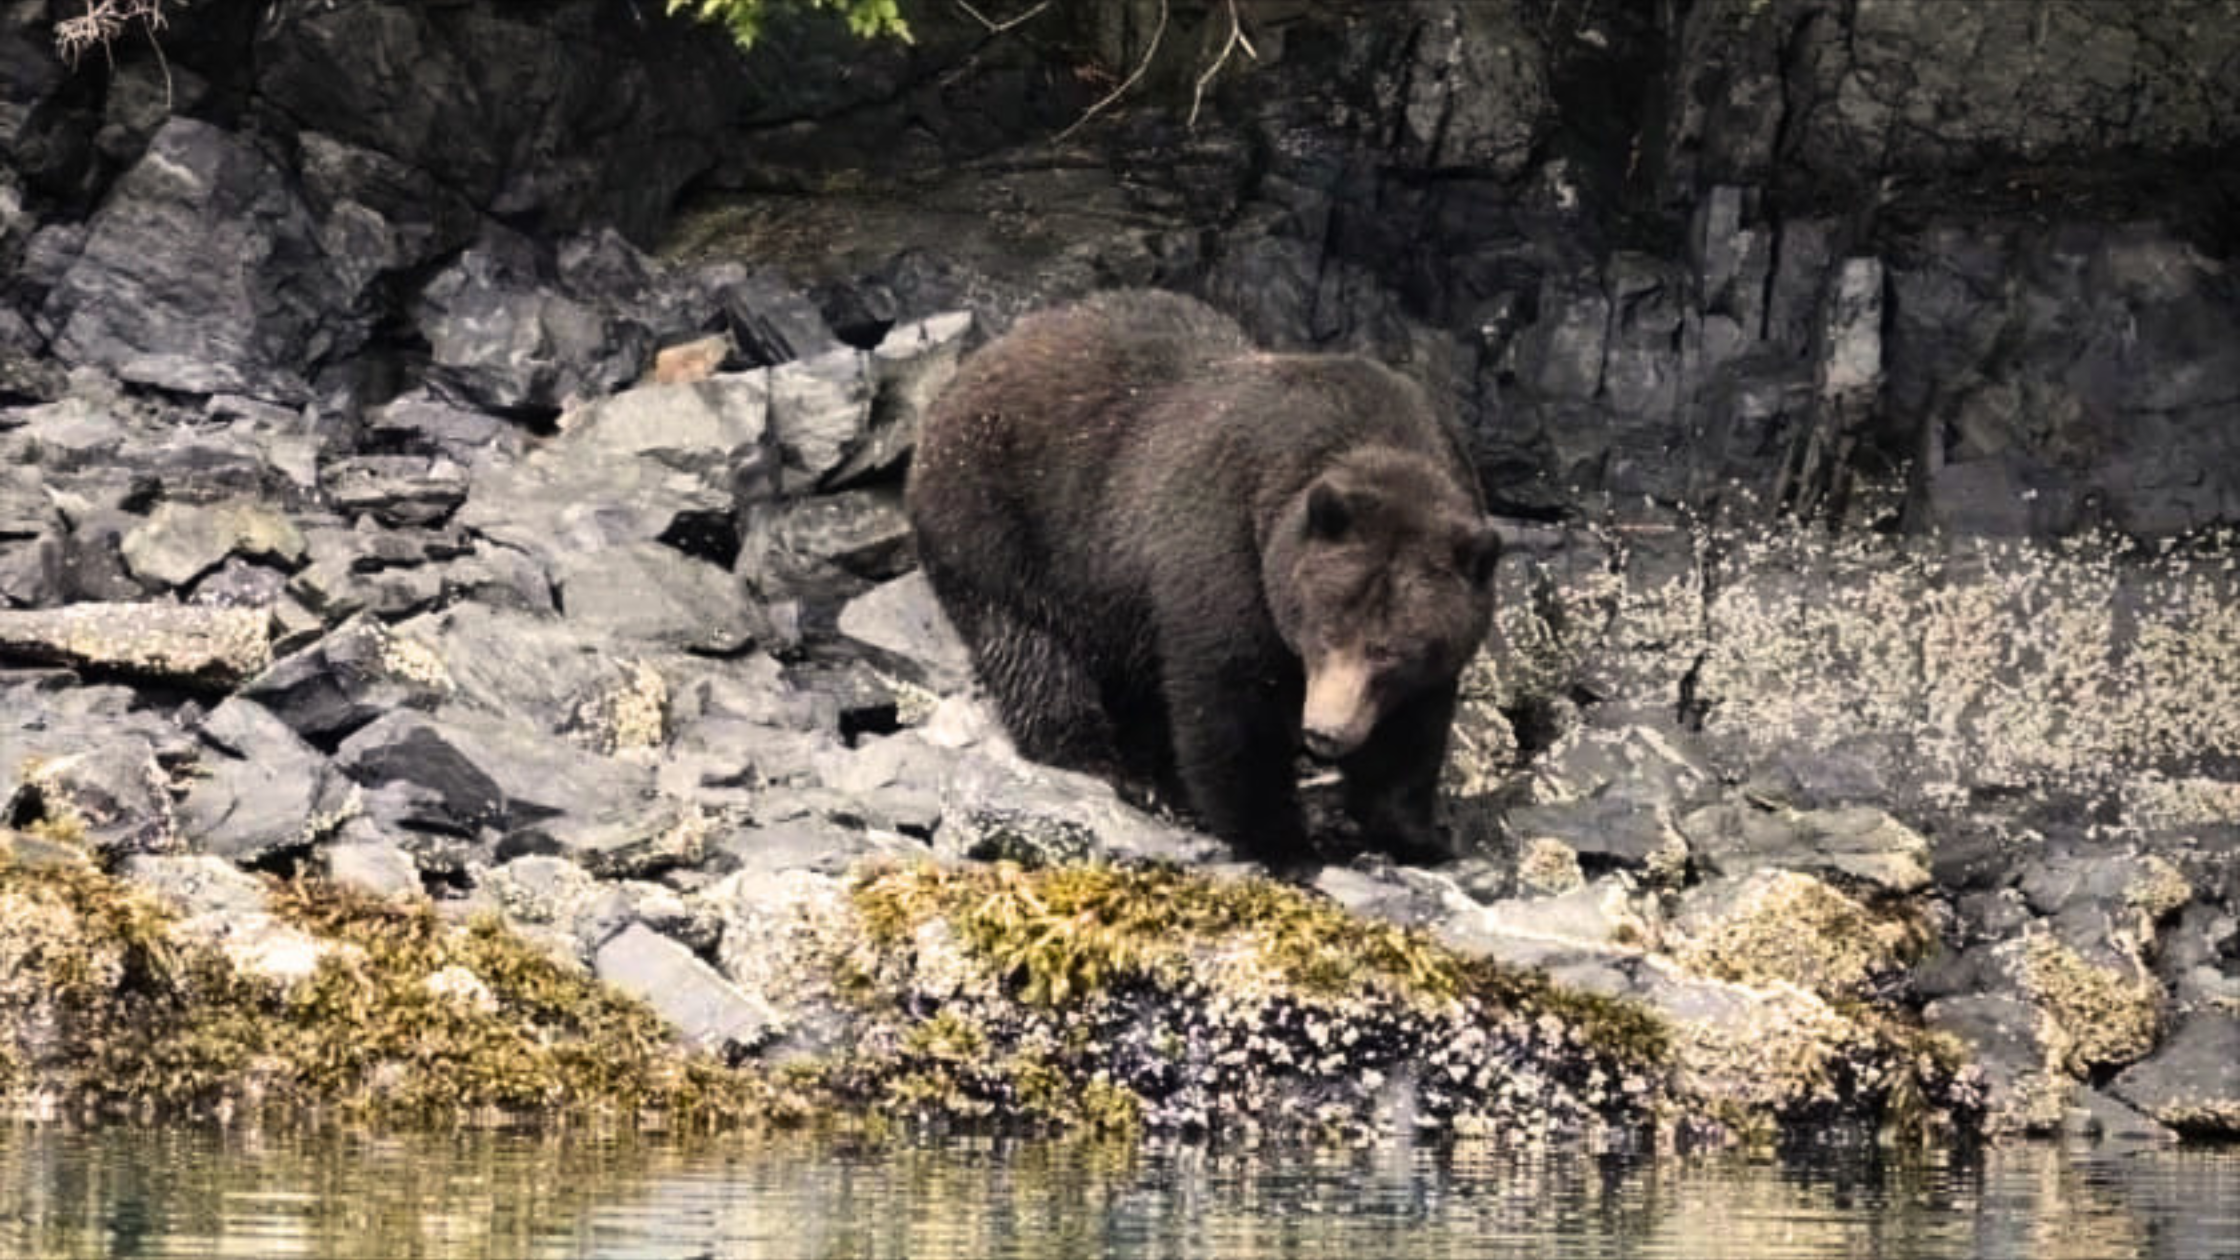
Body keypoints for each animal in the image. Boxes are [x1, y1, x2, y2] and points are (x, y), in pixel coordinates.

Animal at [905, 289, 1501, 863]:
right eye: (1323, 633)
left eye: (1389, 651)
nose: (1325, 732)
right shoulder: (1228, 544)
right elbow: (1230, 701)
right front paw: (1284, 840)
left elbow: (1410, 733)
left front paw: (1419, 835)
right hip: (1003, 518)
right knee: (1031, 646)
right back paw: (1103, 763)